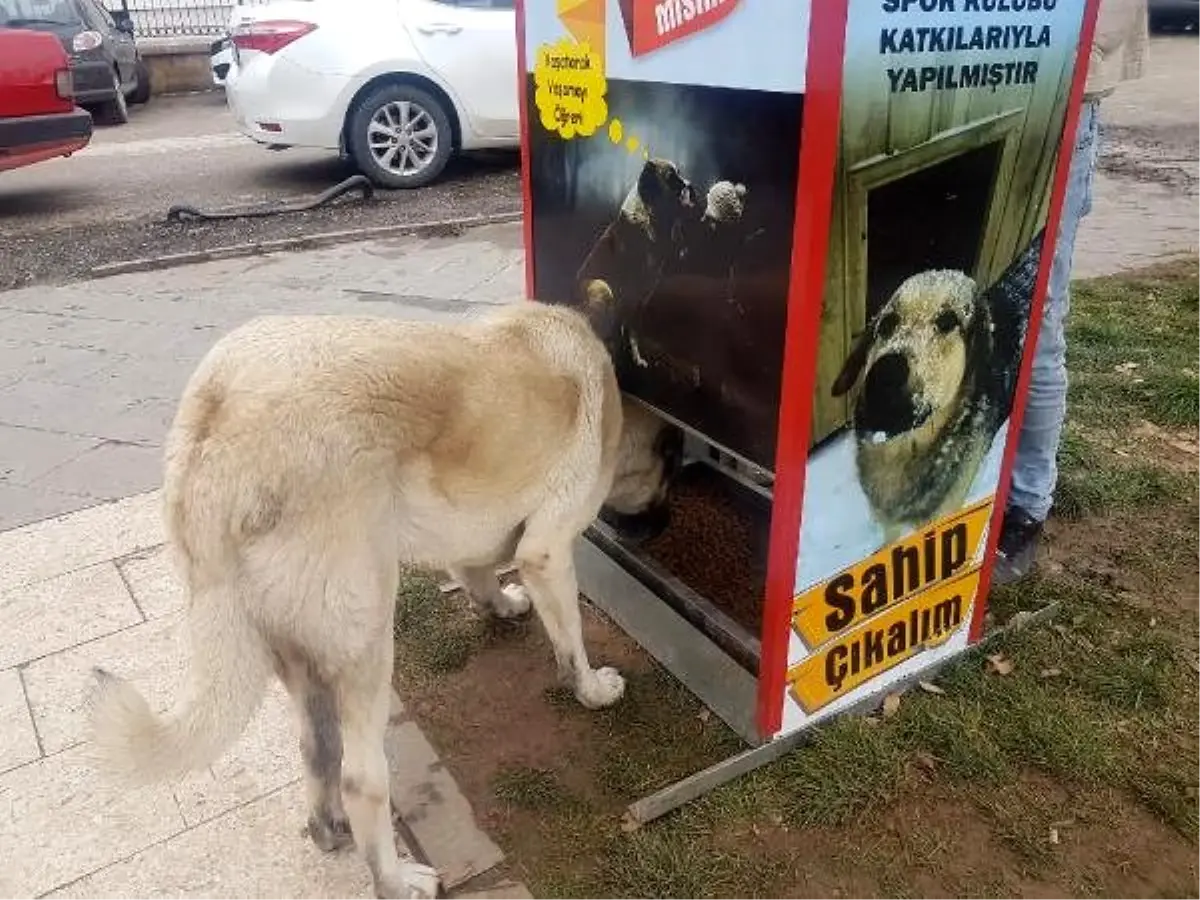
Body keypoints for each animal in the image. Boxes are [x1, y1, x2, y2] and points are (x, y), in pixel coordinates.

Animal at [88, 304, 681, 900]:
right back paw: (396, 879)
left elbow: (480, 575)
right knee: (361, 778)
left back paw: (329, 830)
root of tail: (214, 425)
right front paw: (592, 690)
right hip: (368, 640)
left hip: (301, 655)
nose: (665, 526)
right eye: (668, 477)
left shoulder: (471, 543)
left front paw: (504, 606)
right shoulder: (548, 553)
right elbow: (571, 642)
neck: (611, 395)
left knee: (318, 751)